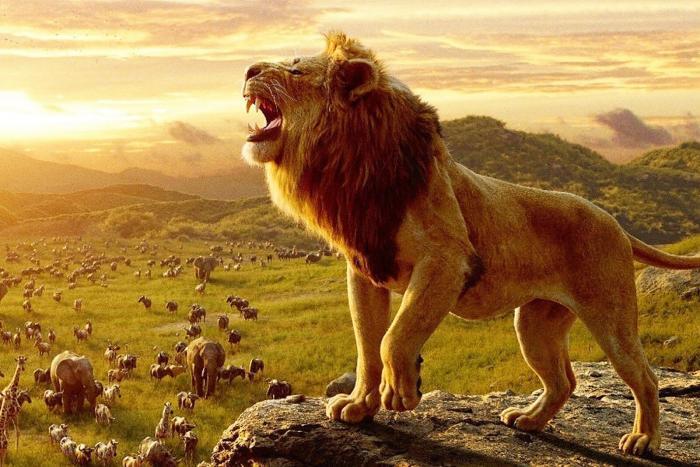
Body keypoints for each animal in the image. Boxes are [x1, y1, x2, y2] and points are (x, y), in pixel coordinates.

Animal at [240, 32, 700, 457]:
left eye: (295, 70)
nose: (248, 70)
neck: (351, 167)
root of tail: (615, 223)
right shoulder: (364, 269)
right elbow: (367, 347)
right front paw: (359, 406)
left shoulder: (447, 260)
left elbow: (395, 336)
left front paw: (402, 392)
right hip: (535, 323)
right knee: (563, 381)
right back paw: (529, 420)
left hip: (611, 316)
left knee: (644, 376)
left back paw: (643, 439)